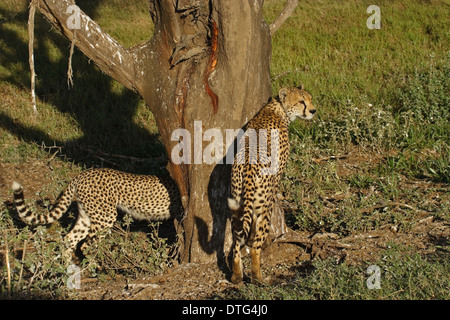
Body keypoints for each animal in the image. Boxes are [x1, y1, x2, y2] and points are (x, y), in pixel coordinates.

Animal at [12, 169, 181, 258]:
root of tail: (83, 174)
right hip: (105, 217)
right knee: (85, 246)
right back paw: (100, 266)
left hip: (86, 217)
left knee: (68, 240)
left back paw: (68, 271)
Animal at [229, 85, 316, 282]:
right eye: (301, 101)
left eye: (310, 99)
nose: (313, 110)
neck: (279, 108)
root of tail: (248, 167)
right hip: (264, 206)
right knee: (255, 246)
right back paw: (259, 278)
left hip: (237, 203)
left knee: (237, 244)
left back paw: (237, 276)